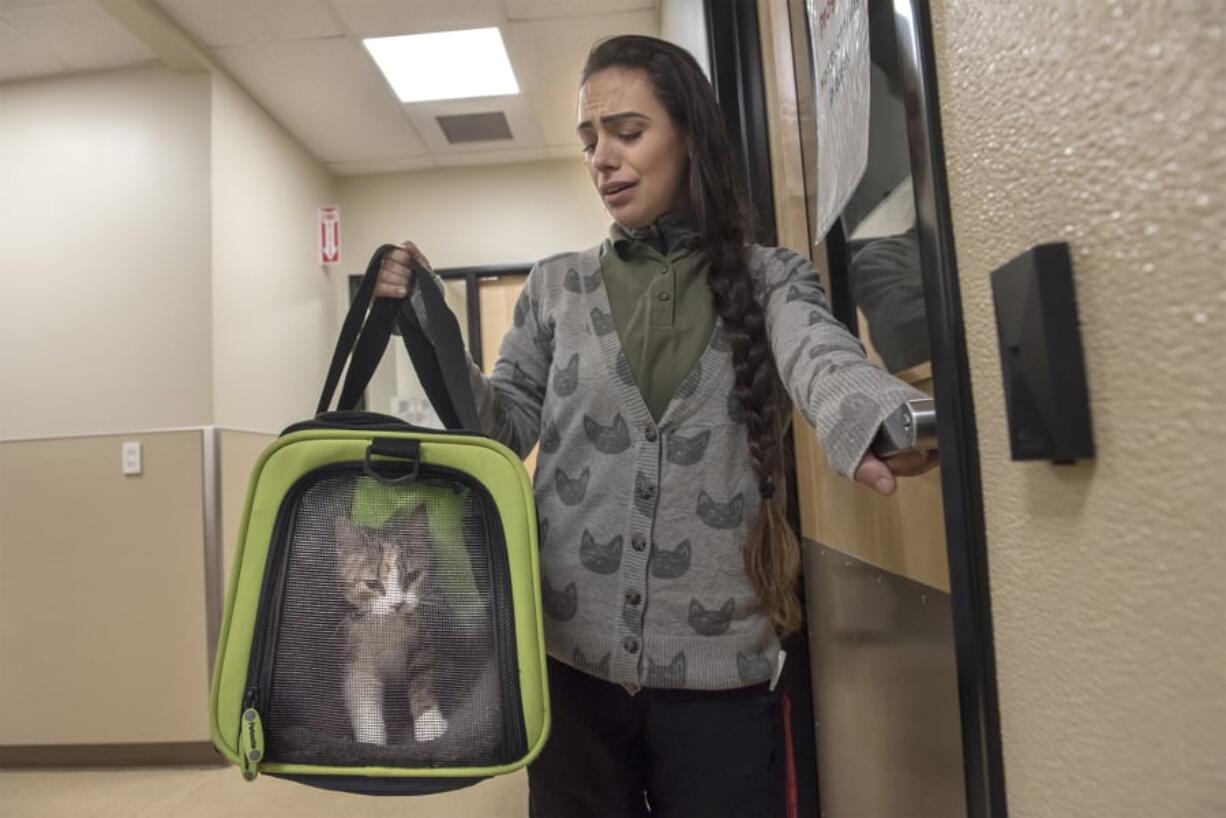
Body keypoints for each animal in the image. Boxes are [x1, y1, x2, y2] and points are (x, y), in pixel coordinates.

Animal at [335, 512, 451, 750]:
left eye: (412, 577)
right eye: (372, 584)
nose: (397, 604)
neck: (388, 626)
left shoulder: (421, 637)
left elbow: (422, 677)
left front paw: (429, 724)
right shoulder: (356, 651)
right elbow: (362, 693)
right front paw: (371, 740)